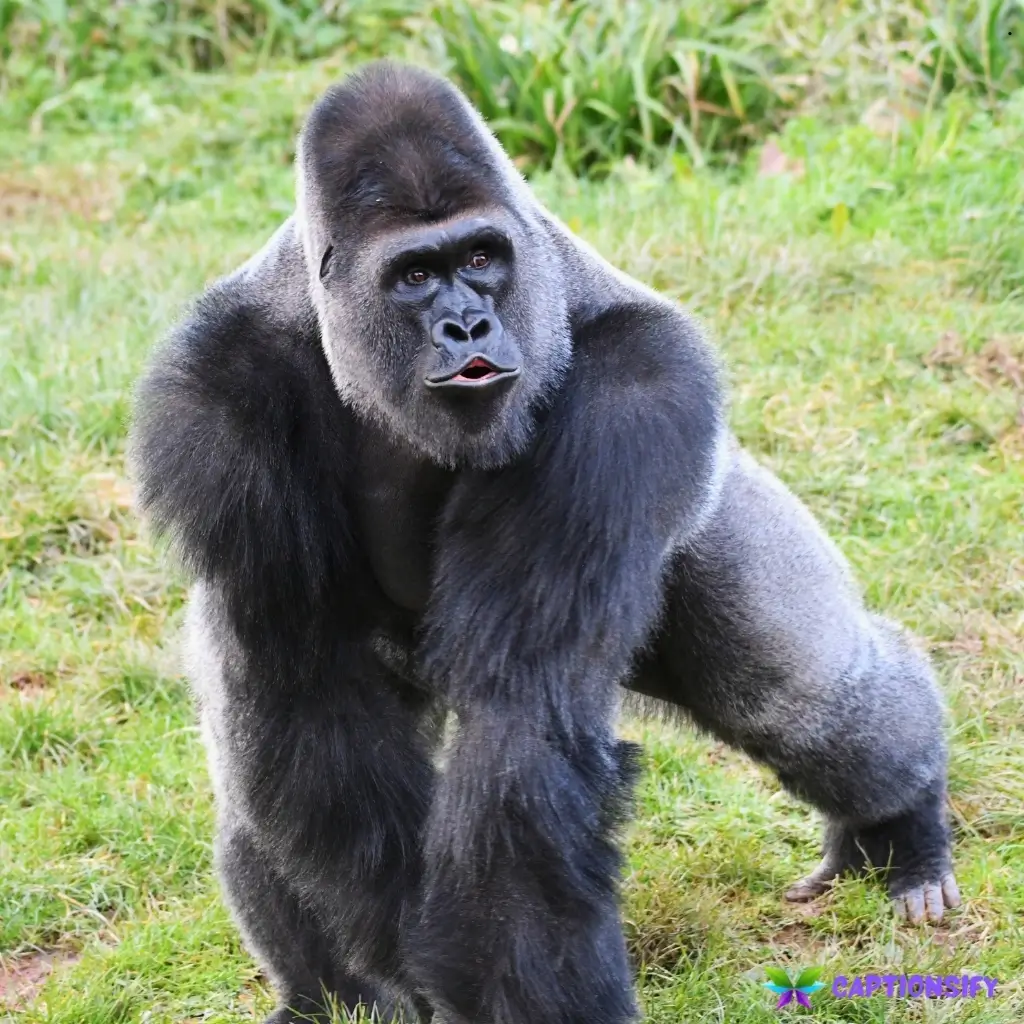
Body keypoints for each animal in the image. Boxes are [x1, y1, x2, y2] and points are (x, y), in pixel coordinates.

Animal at [131, 60, 959, 1024]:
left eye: (480, 260)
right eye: (416, 275)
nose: (466, 327)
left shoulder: (635, 387)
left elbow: (520, 715)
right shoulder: (216, 399)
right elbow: (308, 693)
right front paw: (401, 978)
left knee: (799, 697)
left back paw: (898, 831)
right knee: (254, 763)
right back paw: (320, 994)